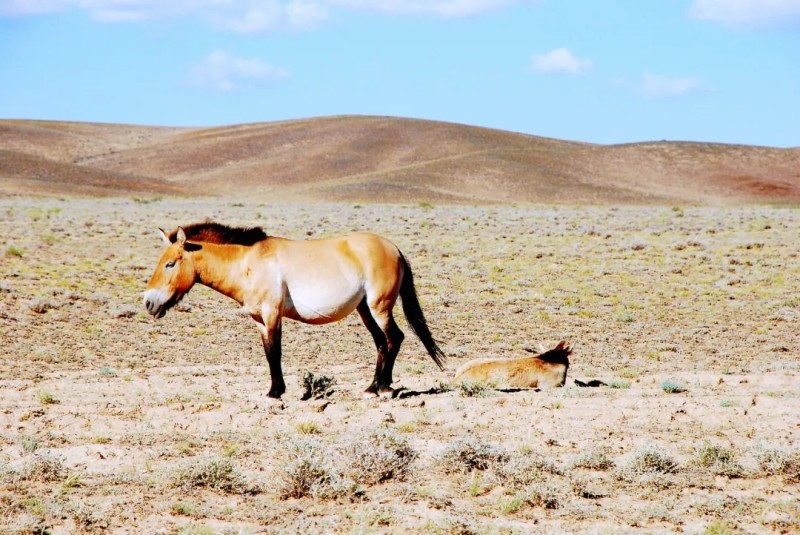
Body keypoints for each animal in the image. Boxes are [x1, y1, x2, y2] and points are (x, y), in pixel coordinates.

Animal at [142, 220, 444, 400]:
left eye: (170, 263)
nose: (149, 302)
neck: (247, 262)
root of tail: (394, 248)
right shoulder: (259, 319)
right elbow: (268, 354)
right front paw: (274, 390)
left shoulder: (272, 313)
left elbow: (276, 352)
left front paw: (276, 393)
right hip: (365, 310)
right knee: (382, 341)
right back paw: (372, 387)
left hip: (379, 307)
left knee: (395, 338)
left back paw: (384, 388)